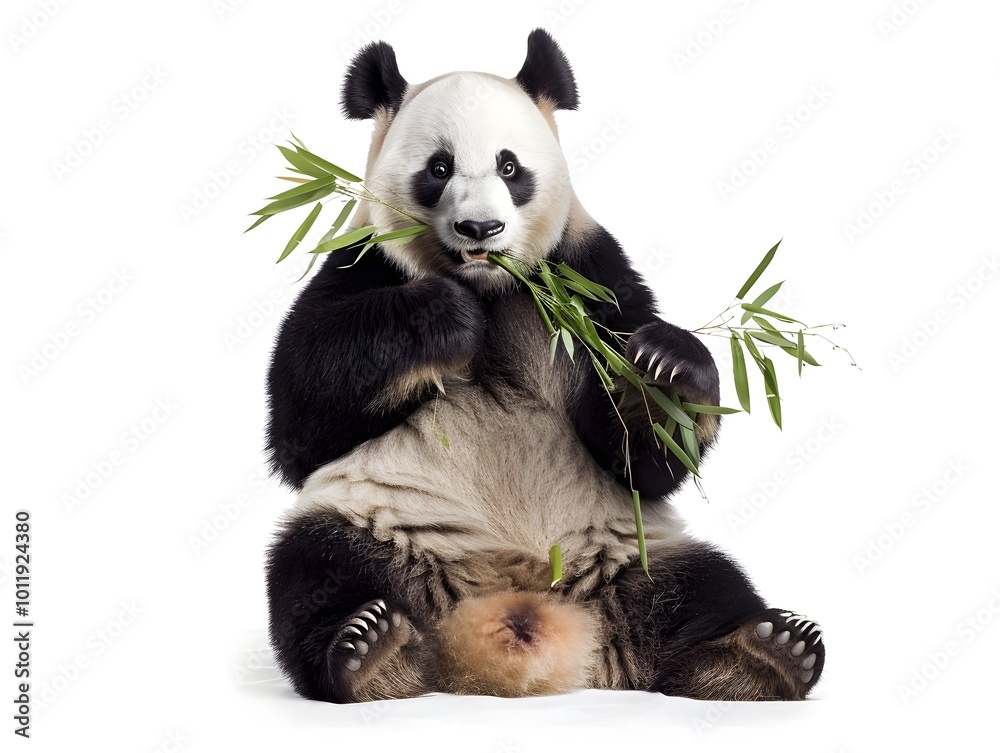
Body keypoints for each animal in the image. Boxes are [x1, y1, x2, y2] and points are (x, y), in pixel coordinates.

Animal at [265, 29, 824, 703]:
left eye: (510, 167)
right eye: (439, 168)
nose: (481, 228)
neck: (492, 286)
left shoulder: (588, 277)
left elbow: (646, 460)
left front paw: (663, 365)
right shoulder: (363, 262)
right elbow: (301, 420)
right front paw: (446, 316)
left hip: (635, 551)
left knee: (702, 586)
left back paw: (762, 654)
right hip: (380, 521)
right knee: (314, 565)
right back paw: (368, 650)